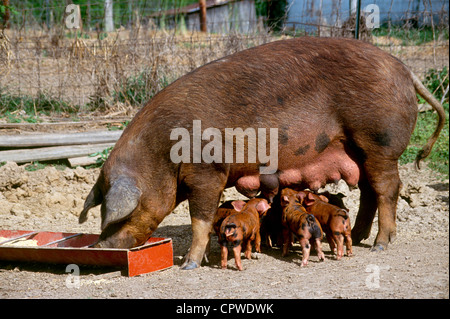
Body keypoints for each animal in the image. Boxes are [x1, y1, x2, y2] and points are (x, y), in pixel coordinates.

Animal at [79, 37, 444, 270]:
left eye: (120, 215)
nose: (98, 246)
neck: (162, 155)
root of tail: (404, 70)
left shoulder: (208, 171)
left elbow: (200, 218)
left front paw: (189, 266)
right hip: (359, 149)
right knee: (368, 190)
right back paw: (357, 235)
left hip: (379, 141)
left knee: (388, 188)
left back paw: (381, 243)